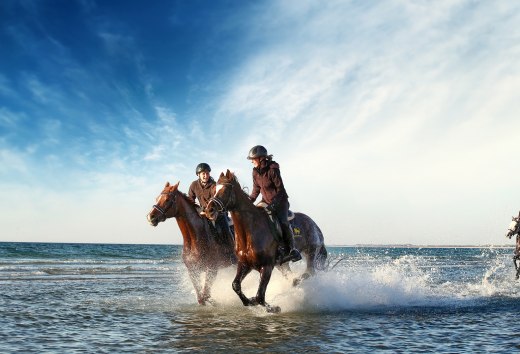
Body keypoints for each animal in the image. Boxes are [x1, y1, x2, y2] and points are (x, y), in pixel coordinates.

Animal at [205, 170, 328, 312]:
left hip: (311, 251)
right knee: (293, 275)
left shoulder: (266, 266)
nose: (209, 210)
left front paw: (273, 308)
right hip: (282, 265)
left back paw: (296, 280)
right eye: (213, 190)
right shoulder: (245, 264)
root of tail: (314, 225)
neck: (250, 232)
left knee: (310, 272)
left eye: (225, 190)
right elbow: (235, 285)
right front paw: (249, 301)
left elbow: (260, 296)